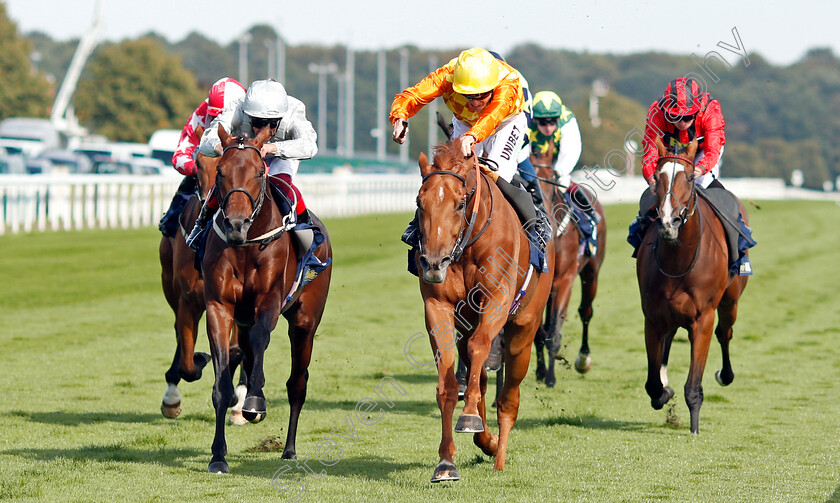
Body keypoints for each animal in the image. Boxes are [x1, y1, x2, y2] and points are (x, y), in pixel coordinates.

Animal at [203, 125, 332, 472]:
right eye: (220, 171)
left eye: (259, 172)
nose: (236, 224)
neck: (246, 246)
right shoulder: (219, 307)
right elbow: (221, 385)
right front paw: (218, 456)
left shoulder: (270, 301)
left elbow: (262, 341)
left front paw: (255, 402)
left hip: (305, 322)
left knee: (297, 383)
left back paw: (289, 449)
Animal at [416, 140, 556, 482]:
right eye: (419, 202)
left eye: (459, 203)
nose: (434, 263)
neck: (466, 245)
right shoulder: (437, 307)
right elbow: (449, 383)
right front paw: (446, 462)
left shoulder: (497, 299)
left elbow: (482, 348)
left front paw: (468, 418)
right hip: (466, 326)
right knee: (478, 378)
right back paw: (486, 439)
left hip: (523, 330)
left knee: (508, 399)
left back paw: (499, 456)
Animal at [532, 144, 604, 388]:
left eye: (549, 177)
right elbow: (540, 331)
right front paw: (541, 371)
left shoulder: (564, 281)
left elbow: (554, 332)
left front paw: (551, 378)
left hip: (591, 272)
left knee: (586, 312)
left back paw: (584, 359)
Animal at [636, 139, 748, 438]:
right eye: (657, 177)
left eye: (687, 177)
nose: (668, 221)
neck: (679, 261)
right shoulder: (653, 316)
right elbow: (652, 384)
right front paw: (663, 391)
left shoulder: (703, 318)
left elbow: (693, 385)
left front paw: (694, 427)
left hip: (731, 300)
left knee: (725, 332)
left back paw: (725, 374)